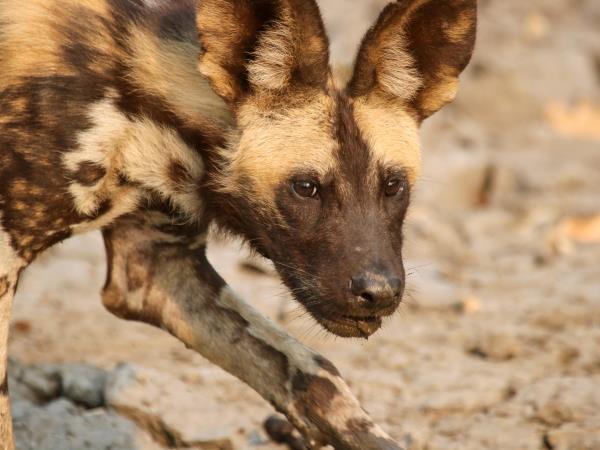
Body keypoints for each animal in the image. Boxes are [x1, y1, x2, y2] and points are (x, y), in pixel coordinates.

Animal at [0, 0, 478, 448]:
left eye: (393, 185)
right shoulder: (5, 263)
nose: (378, 292)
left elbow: (320, 381)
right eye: (306, 187)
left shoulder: (155, 271)